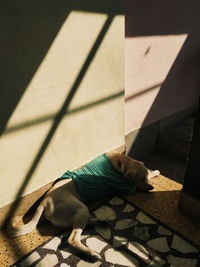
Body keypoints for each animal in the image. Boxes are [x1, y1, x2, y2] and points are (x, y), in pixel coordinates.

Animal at [8, 153, 160, 260]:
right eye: (141, 178)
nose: (151, 188)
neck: (120, 162)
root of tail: (44, 202)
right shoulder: (127, 187)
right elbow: (134, 185)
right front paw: (154, 173)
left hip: (79, 213)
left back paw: (100, 221)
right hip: (80, 208)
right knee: (72, 238)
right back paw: (90, 252)